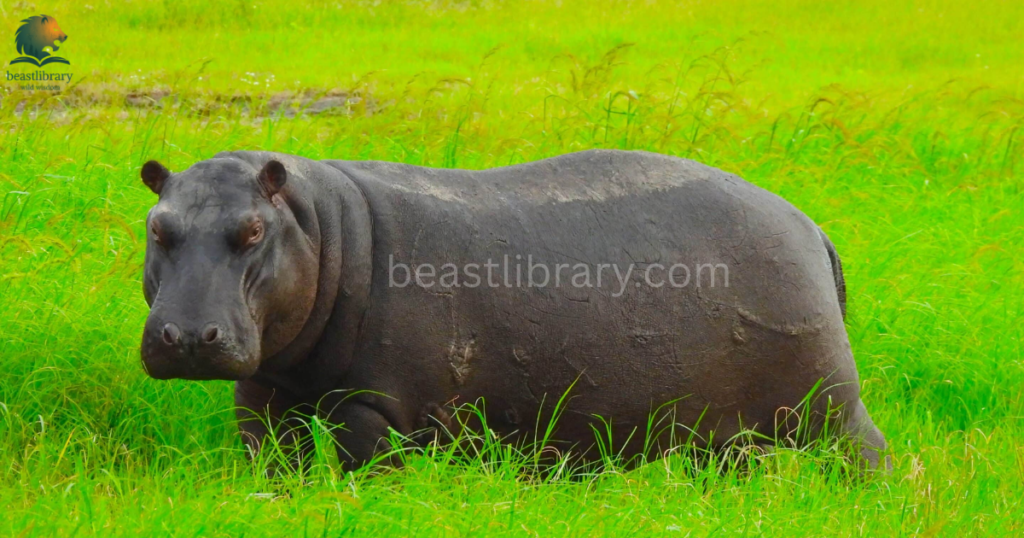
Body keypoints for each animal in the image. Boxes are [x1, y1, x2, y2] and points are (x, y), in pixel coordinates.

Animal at [139, 149, 887, 471]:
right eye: (156, 226)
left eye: (252, 231)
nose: (187, 335)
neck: (320, 226)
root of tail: (808, 225)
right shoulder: (267, 388)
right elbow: (271, 458)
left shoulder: (373, 404)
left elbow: (367, 468)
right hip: (728, 427)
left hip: (827, 404)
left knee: (867, 453)